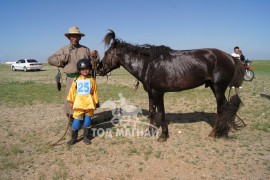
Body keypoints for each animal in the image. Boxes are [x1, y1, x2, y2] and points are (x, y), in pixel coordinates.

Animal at [97, 29, 245, 142]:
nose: (99, 69)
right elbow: (152, 112)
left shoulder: (158, 92)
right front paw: (150, 132)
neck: (148, 64)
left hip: (219, 88)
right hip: (216, 88)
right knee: (226, 108)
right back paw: (222, 131)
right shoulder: (150, 93)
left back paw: (214, 133)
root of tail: (231, 58)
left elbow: (161, 113)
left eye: (106, 53)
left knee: (221, 109)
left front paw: (163, 135)